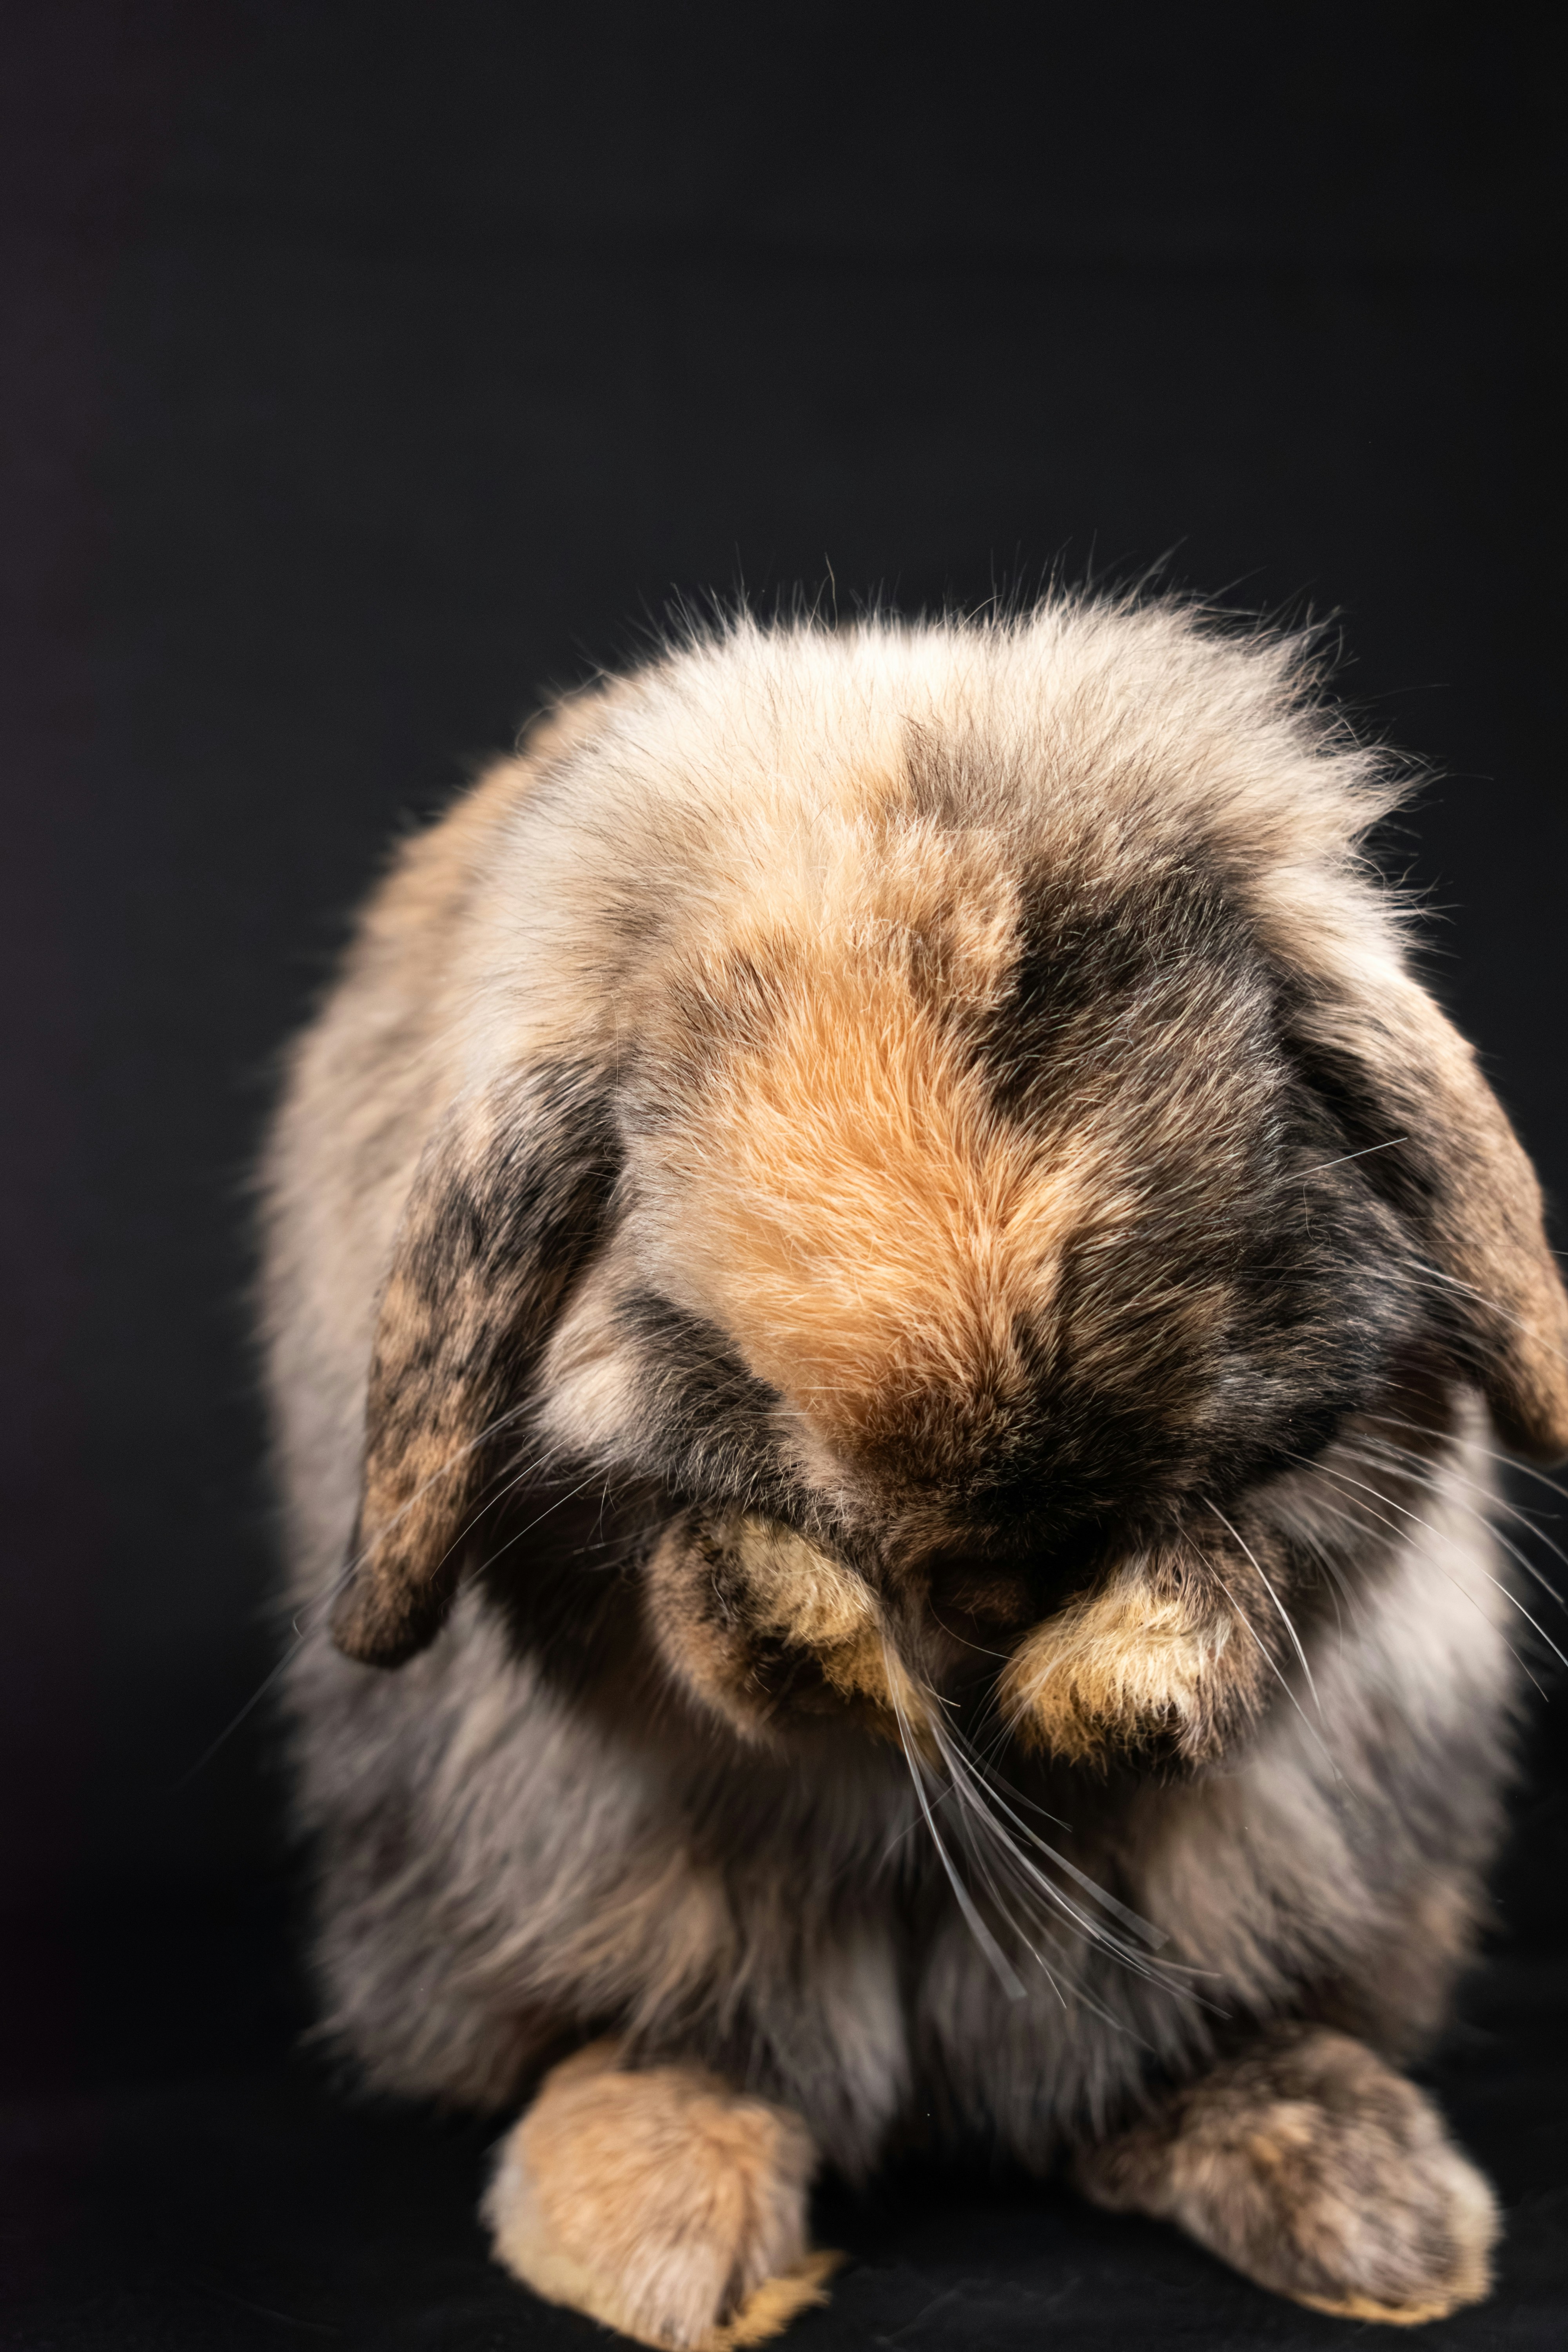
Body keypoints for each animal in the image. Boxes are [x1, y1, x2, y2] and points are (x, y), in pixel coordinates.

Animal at [260, 597, 1568, 2348]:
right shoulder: (593, 1534)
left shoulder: (1354, 1438)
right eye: (724, 1340)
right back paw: (658, 2236)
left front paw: (1093, 1690)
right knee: (663, 2037)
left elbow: (1250, 1552)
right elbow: (692, 1592)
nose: (995, 1591)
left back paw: (1367, 2213)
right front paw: (841, 1650)